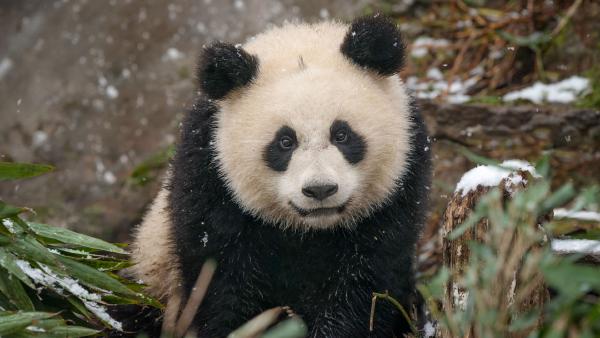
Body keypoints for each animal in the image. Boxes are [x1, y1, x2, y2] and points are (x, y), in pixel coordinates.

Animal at [130, 14, 432, 336]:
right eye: (285, 142)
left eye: (342, 135)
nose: (320, 190)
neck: (308, 231)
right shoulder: (210, 181)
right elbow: (220, 283)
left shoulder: (397, 193)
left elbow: (367, 285)